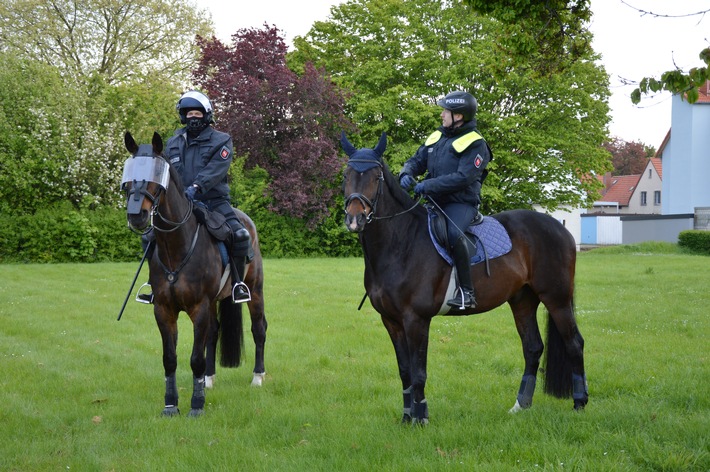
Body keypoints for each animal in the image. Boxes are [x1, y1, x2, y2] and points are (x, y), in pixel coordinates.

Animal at [121, 131, 268, 414]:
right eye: (129, 176)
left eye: (157, 178)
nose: (137, 215)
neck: (177, 247)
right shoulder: (164, 310)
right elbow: (170, 358)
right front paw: (171, 405)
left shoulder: (198, 308)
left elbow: (195, 358)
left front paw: (196, 405)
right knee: (213, 333)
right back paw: (208, 379)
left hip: (254, 291)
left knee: (259, 328)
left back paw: (258, 377)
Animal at [342, 133, 588, 424]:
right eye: (346, 174)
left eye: (375, 175)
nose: (355, 218)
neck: (401, 243)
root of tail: (560, 228)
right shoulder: (391, 321)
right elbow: (404, 372)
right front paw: (406, 418)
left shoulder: (416, 319)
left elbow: (418, 372)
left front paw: (421, 418)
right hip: (522, 301)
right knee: (533, 348)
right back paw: (521, 405)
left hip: (556, 299)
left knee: (574, 344)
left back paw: (580, 402)